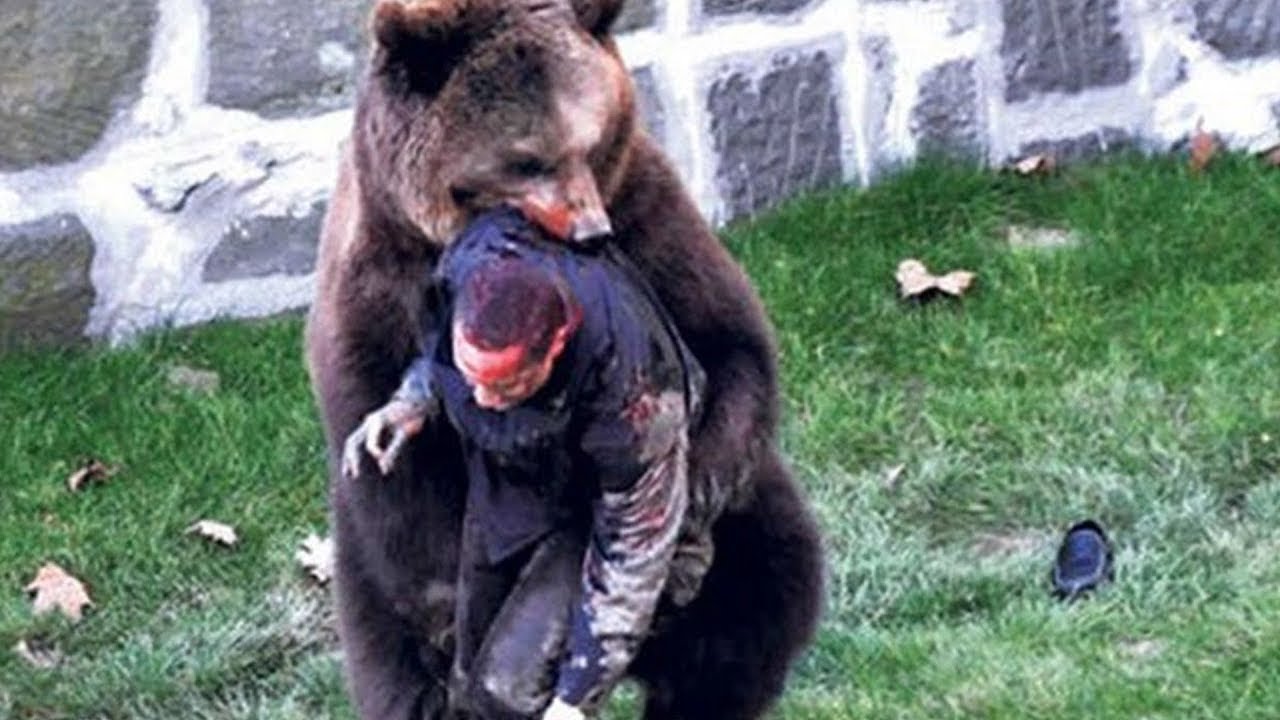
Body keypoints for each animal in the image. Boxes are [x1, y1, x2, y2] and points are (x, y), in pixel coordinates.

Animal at [303, 1, 825, 719]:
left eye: (593, 139)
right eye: (526, 158)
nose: (589, 230)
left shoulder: (646, 215)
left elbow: (729, 342)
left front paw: (689, 505)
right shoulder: (377, 289)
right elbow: (392, 460)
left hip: (747, 536)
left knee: (757, 602)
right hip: (364, 586)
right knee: (398, 672)